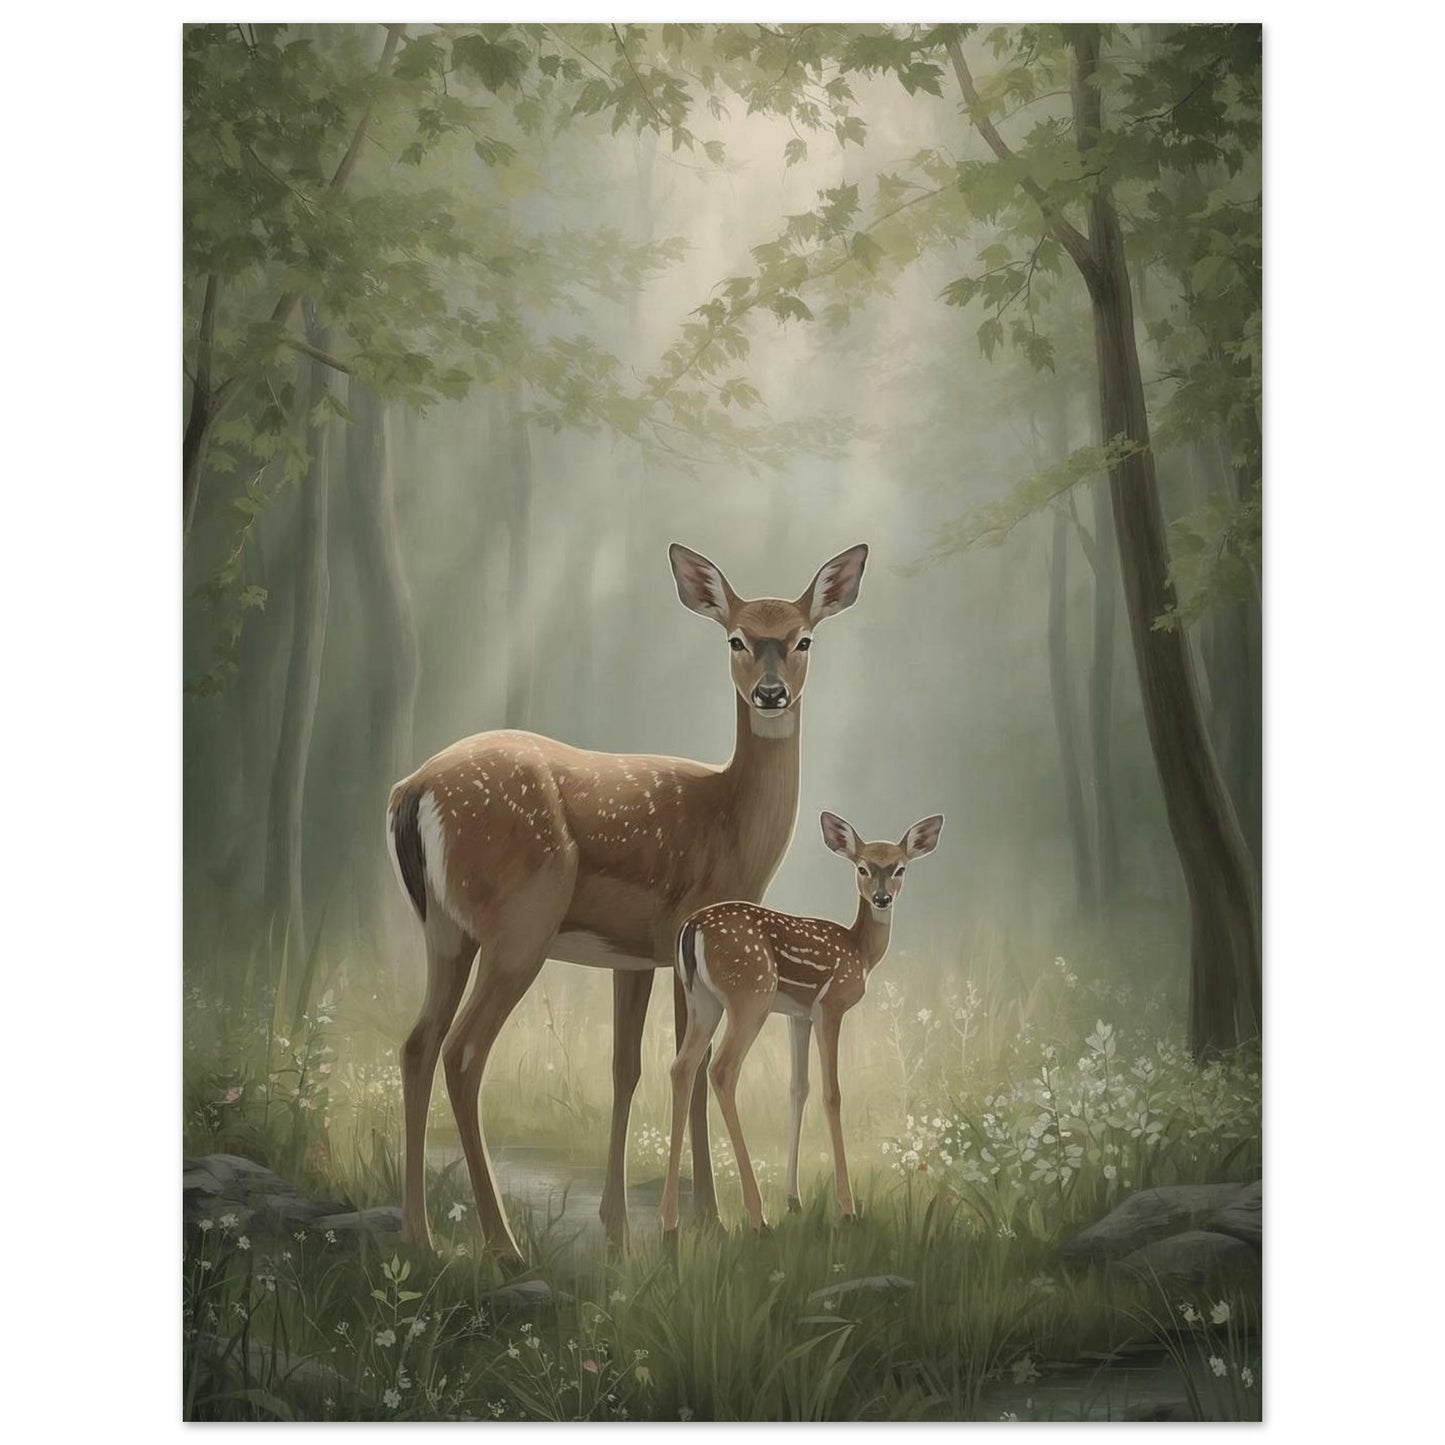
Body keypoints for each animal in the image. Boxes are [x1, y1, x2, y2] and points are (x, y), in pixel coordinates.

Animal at [385, 541, 869, 1261]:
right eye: (735, 638)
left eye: (803, 637)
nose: (770, 693)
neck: (731, 823)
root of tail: (410, 790)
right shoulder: (686, 929)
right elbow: (692, 1070)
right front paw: (707, 1218)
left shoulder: (634, 955)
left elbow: (624, 1069)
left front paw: (618, 1227)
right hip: (519, 925)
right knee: (464, 1052)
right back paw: (503, 1243)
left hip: (445, 929)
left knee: (418, 1043)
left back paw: (419, 1235)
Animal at [660, 809, 944, 1236]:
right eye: (862, 867)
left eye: (900, 868)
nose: (882, 898)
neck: (860, 952)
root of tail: (690, 928)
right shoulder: (830, 1006)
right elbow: (832, 1093)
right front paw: (847, 1208)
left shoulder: (799, 1015)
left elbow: (798, 1088)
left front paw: (794, 1201)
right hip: (750, 996)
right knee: (722, 1069)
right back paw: (756, 1215)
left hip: (701, 1001)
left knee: (682, 1067)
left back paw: (670, 1221)